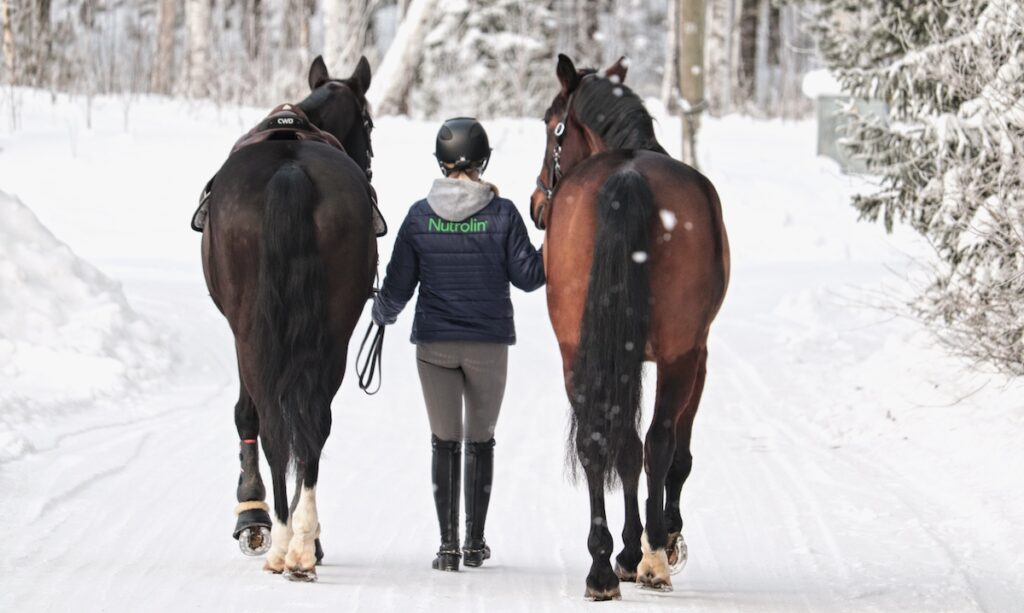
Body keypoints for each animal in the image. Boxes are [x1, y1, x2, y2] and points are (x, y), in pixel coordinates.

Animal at [199, 55, 376, 581]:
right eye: (370, 124)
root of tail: (290, 173)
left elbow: (246, 414)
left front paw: (250, 513)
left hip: (253, 332)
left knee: (275, 423)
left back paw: (280, 539)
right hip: (333, 333)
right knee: (312, 420)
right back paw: (302, 544)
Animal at [532, 55, 733, 601]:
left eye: (548, 124)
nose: (537, 204)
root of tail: (627, 177)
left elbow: (623, 448)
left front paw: (625, 550)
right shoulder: (699, 354)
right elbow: (671, 453)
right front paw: (653, 541)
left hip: (575, 349)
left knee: (600, 443)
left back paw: (602, 568)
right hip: (681, 355)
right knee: (661, 442)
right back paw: (654, 556)